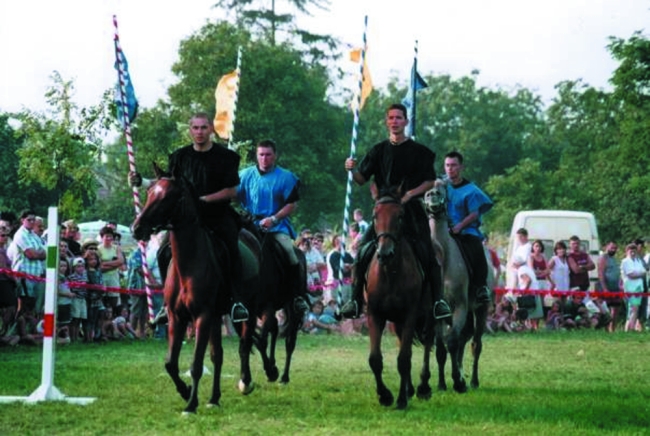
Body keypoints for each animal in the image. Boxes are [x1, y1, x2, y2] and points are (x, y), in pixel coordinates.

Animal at [130, 165, 260, 414]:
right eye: (149, 192)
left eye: (168, 197)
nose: (137, 228)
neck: (189, 264)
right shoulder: (177, 317)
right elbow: (171, 363)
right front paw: (186, 391)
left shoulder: (202, 316)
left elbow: (196, 364)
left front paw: (190, 404)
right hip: (217, 317)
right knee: (218, 355)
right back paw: (214, 398)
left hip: (246, 310)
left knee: (244, 344)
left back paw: (245, 382)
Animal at [362, 186, 432, 408]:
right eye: (375, 216)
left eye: (400, 216)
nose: (385, 253)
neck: (390, 273)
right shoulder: (375, 315)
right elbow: (375, 359)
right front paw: (385, 395)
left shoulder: (410, 314)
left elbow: (404, 359)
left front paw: (400, 400)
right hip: (396, 322)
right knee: (403, 342)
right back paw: (409, 388)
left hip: (428, 316)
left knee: (428, 344)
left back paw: (423, 386)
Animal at [422, 177, 488, 392]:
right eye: (426, 188)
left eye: (443, 186)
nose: (432, 195)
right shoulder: (439, 312)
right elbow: (441, 348)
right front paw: (443, 383)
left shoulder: (460, 306)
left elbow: (452, 342)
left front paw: (458, 381)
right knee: (462, 339)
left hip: (480, 308)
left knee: (475, 343)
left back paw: (473, 381)